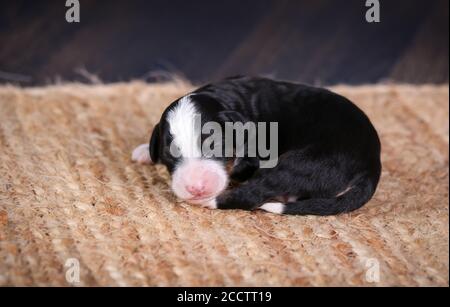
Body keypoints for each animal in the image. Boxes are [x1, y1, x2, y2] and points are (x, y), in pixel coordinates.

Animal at [132, 76, 382, 217]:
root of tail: (372, 167)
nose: (195, 188)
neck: (226, 99)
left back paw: (208, 201)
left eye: (216, 144)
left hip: (301, 165)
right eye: (169, 153)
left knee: (253, 194)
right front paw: (145, 151)